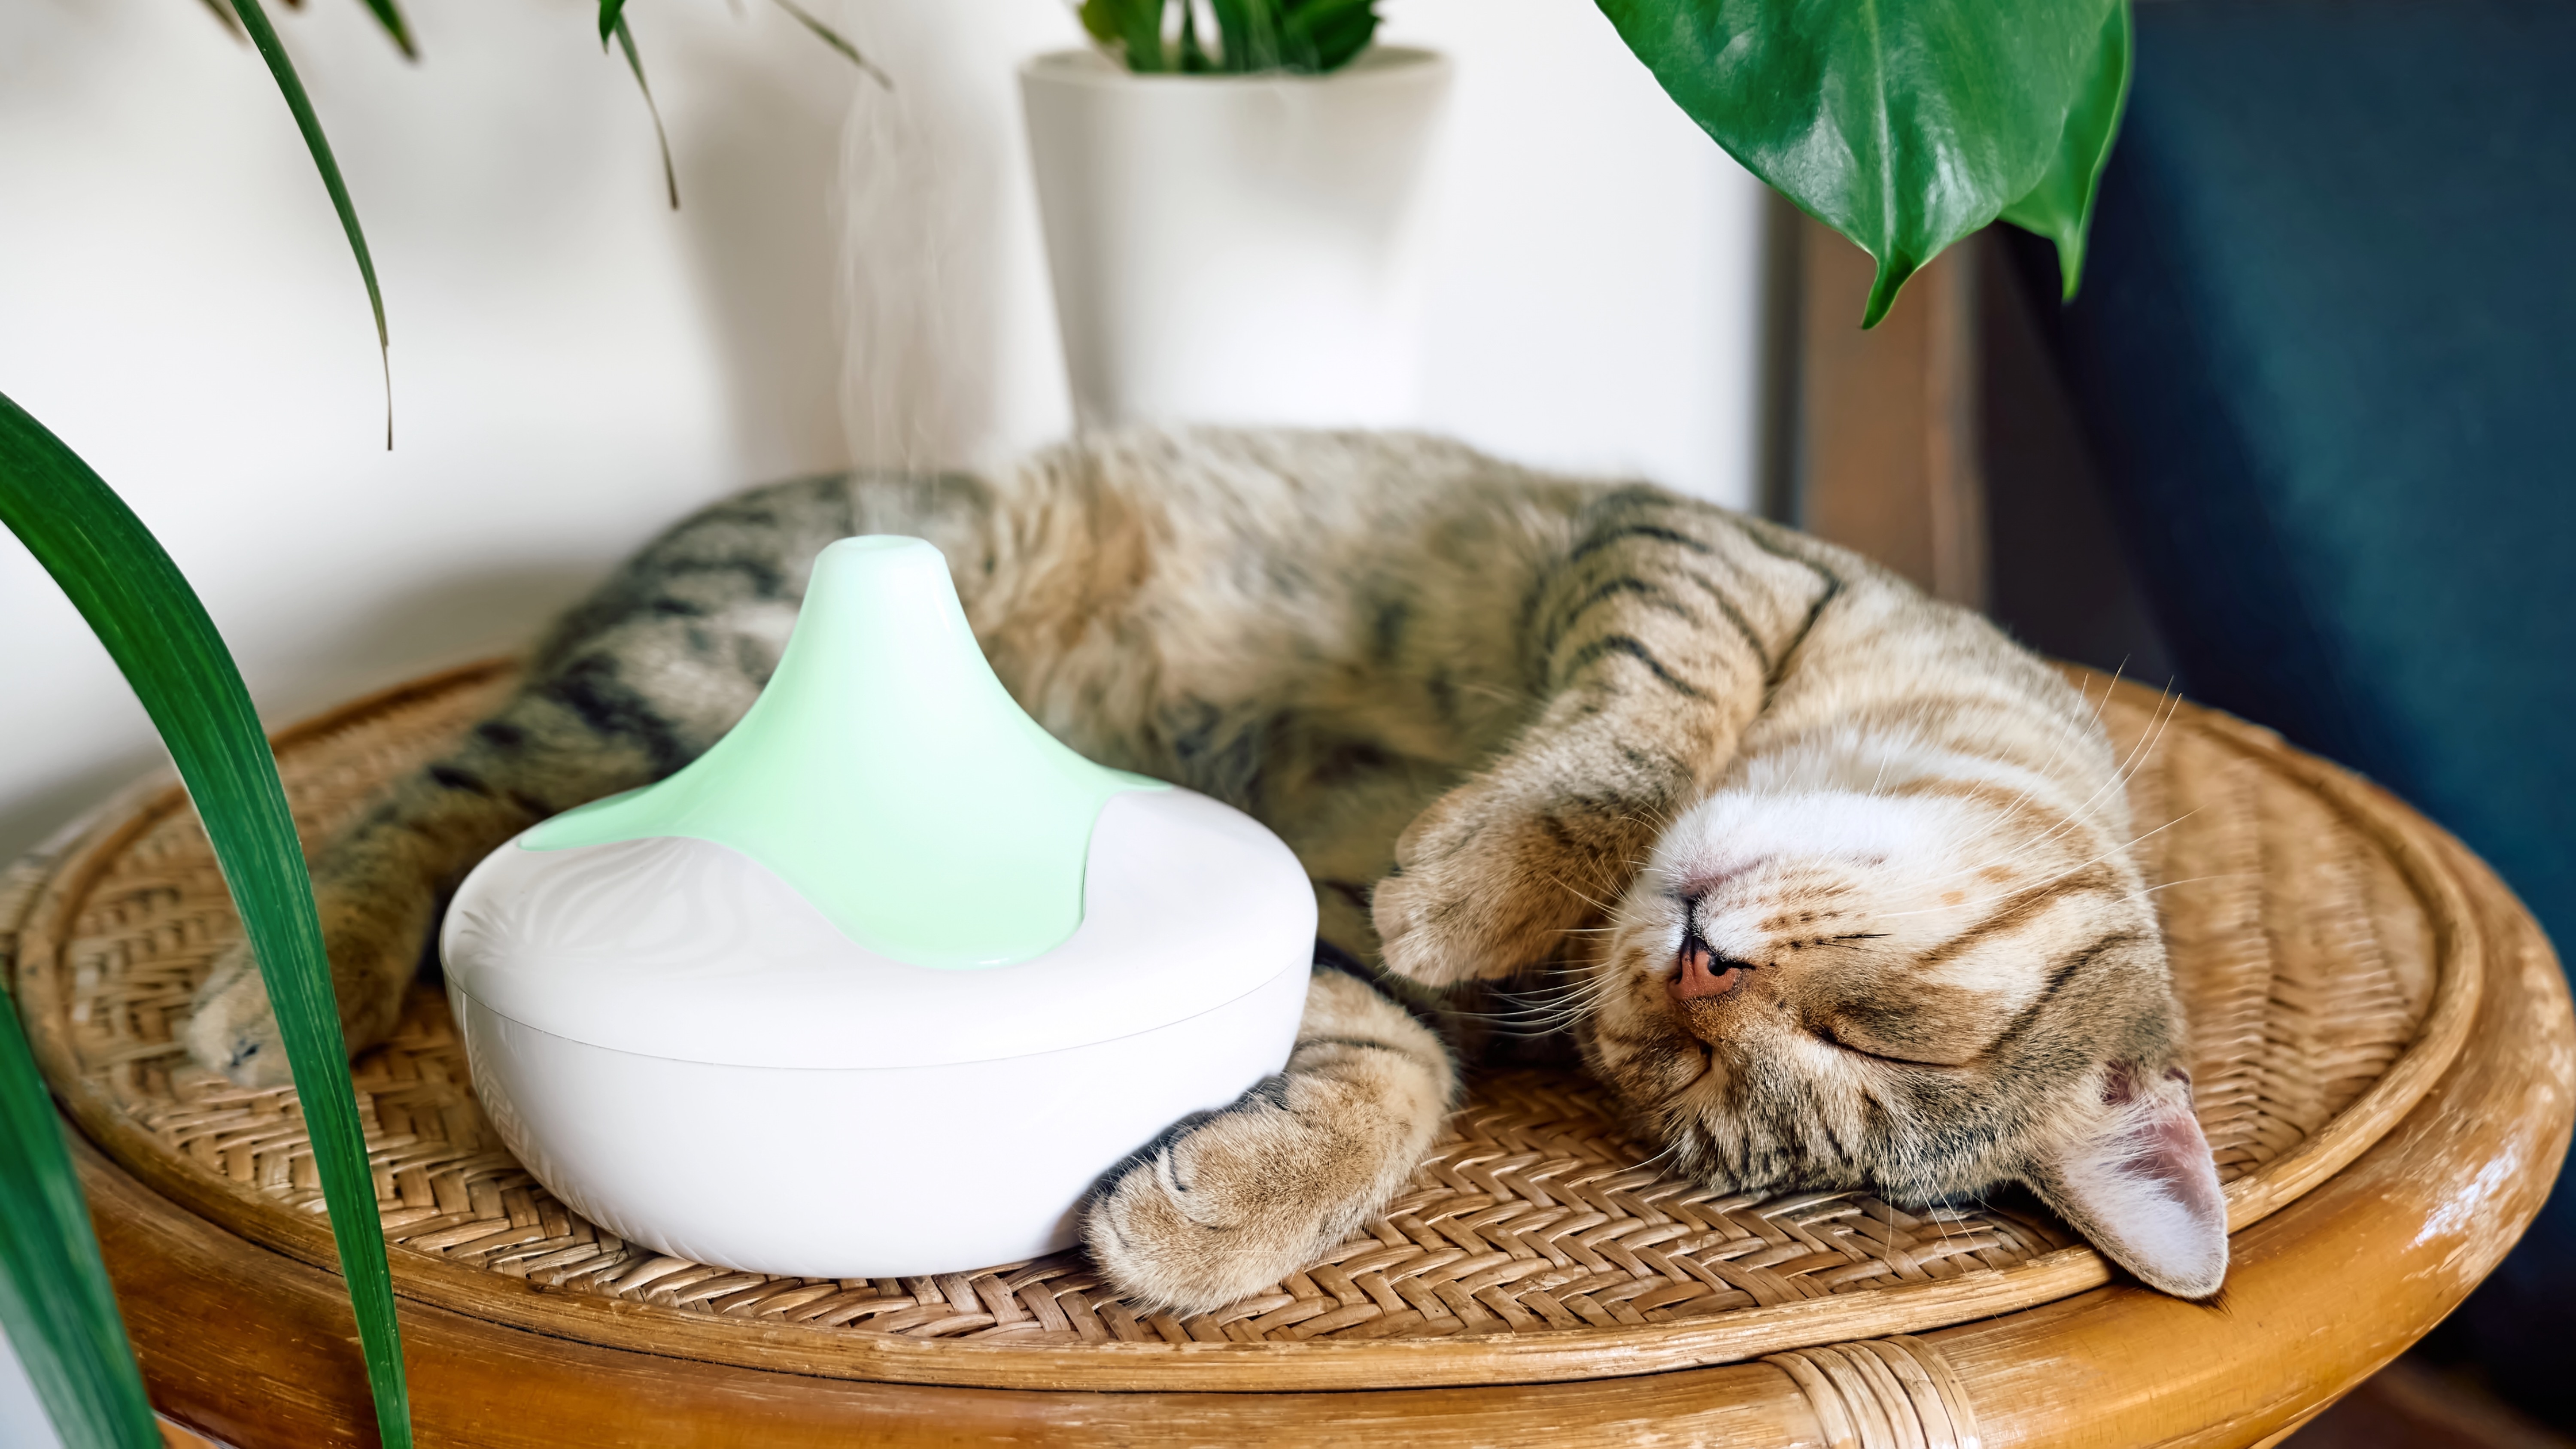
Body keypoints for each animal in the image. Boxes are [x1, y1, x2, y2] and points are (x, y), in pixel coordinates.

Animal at [182, 425, 2236, 1299]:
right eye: (1880, 1030)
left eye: (1688, 1084)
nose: (1691, 973)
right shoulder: (1687, 553)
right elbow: (1637, 730)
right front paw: (1497, 866)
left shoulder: (1339, 931)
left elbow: (1383, 1074)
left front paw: (1214, 1210)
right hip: (714, 641)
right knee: (424, 801)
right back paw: (283, 988)